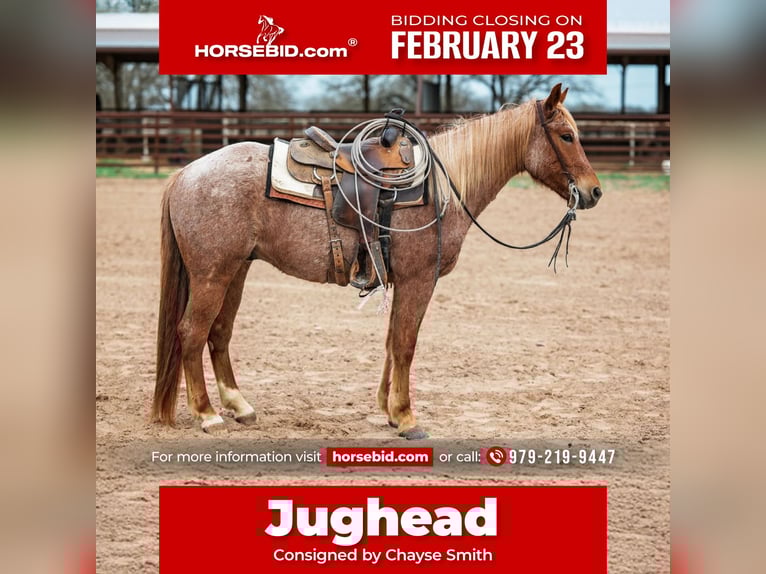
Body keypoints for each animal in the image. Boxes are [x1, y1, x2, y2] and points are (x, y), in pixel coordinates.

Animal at [151, 84, 602, 438]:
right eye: (566, 135)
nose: (594, 191)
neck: (440, 191)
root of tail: (186, 174)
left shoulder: (400, 280)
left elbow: (391, 341)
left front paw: (388, 409)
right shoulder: (419, 279)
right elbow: (405, 344)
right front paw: (406, 418)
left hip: (237, 270)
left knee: (219, 333)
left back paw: (239, 406)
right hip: (212, 274)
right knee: (192, 331)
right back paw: (207, 414)